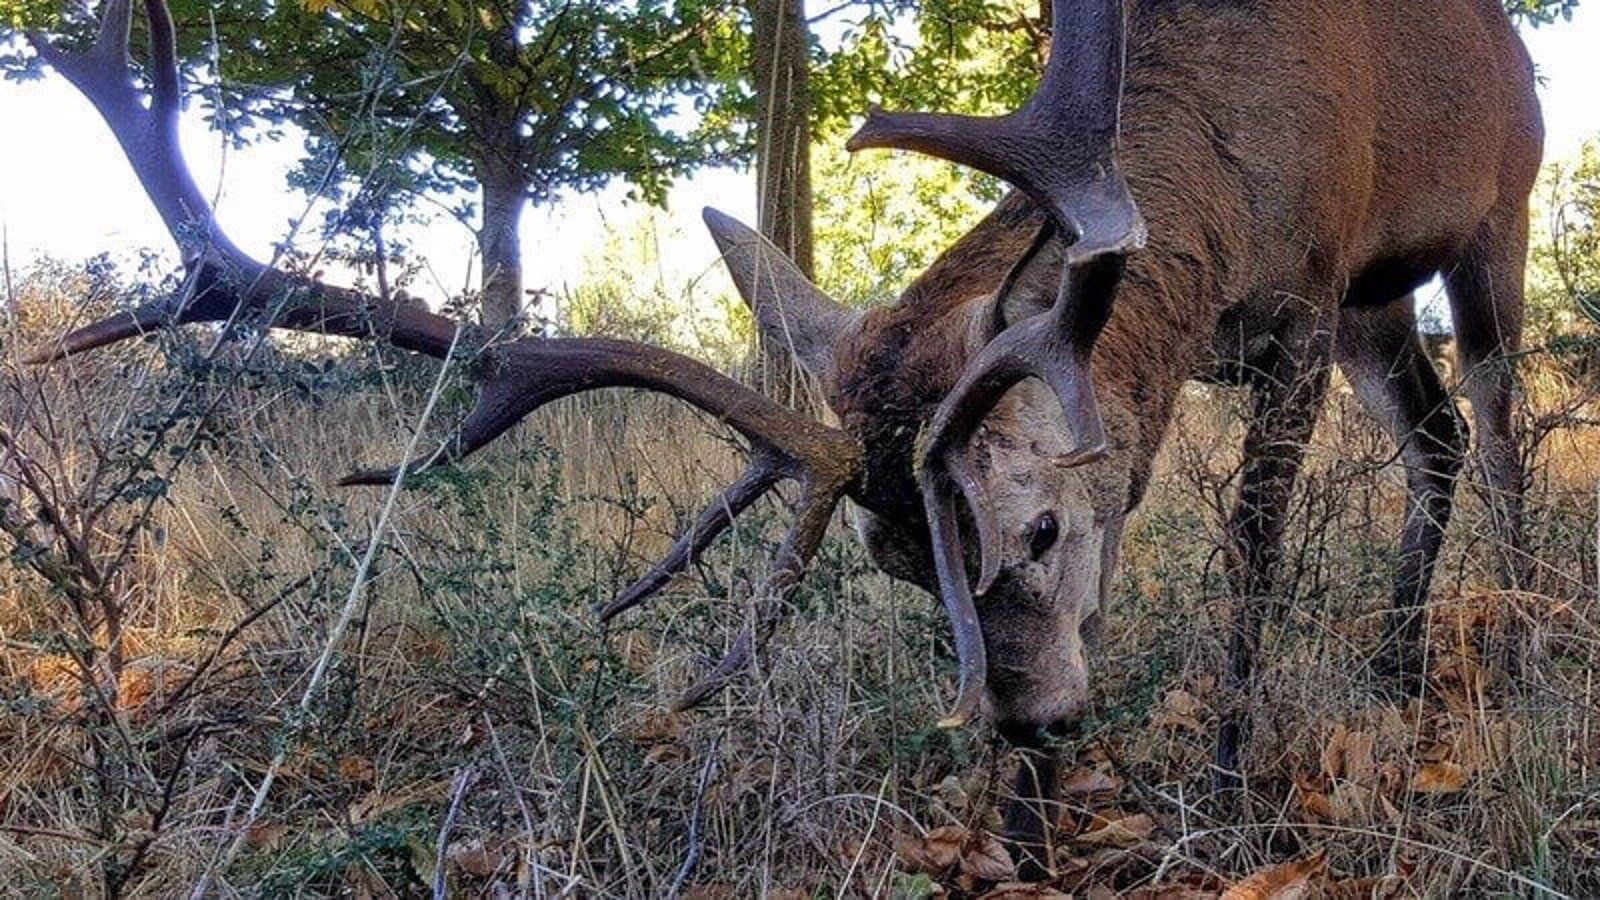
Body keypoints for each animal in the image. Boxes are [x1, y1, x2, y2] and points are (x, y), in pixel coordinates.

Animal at [22, 0, 1541, 878]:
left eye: (1039, 526)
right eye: (897, 563)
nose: (1032, 723)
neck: (1218, 189)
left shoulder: (1304, 295)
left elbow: (1251, 548)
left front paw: (1222, 785)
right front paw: (1028, 824)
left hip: (1489, 218)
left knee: (1499, 425)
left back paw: (1515, 645)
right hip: (1381, 308)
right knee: (1432, 433)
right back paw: (1399, 660)